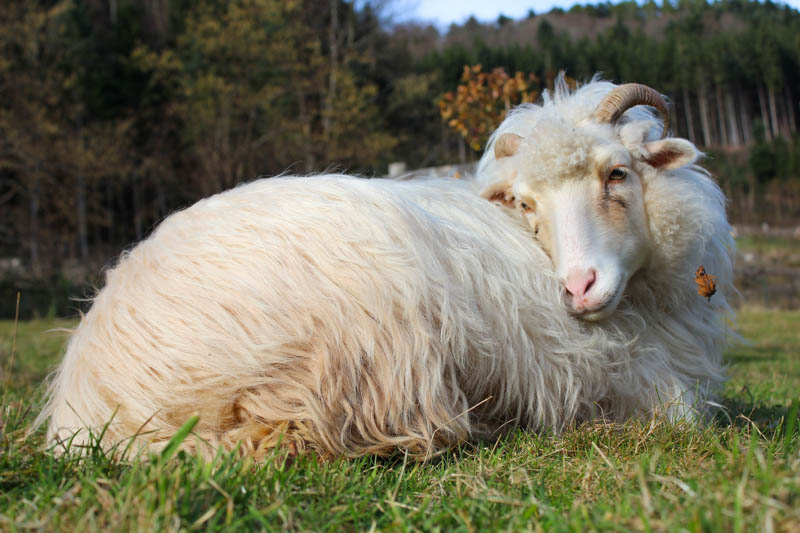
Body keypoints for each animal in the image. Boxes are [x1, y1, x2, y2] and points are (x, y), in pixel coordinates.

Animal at [40, 78, 736, 458]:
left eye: (617, 173)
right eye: (527, 203)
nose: (577, 288)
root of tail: (90, 393)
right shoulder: (618, 373)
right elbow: (683, 414)